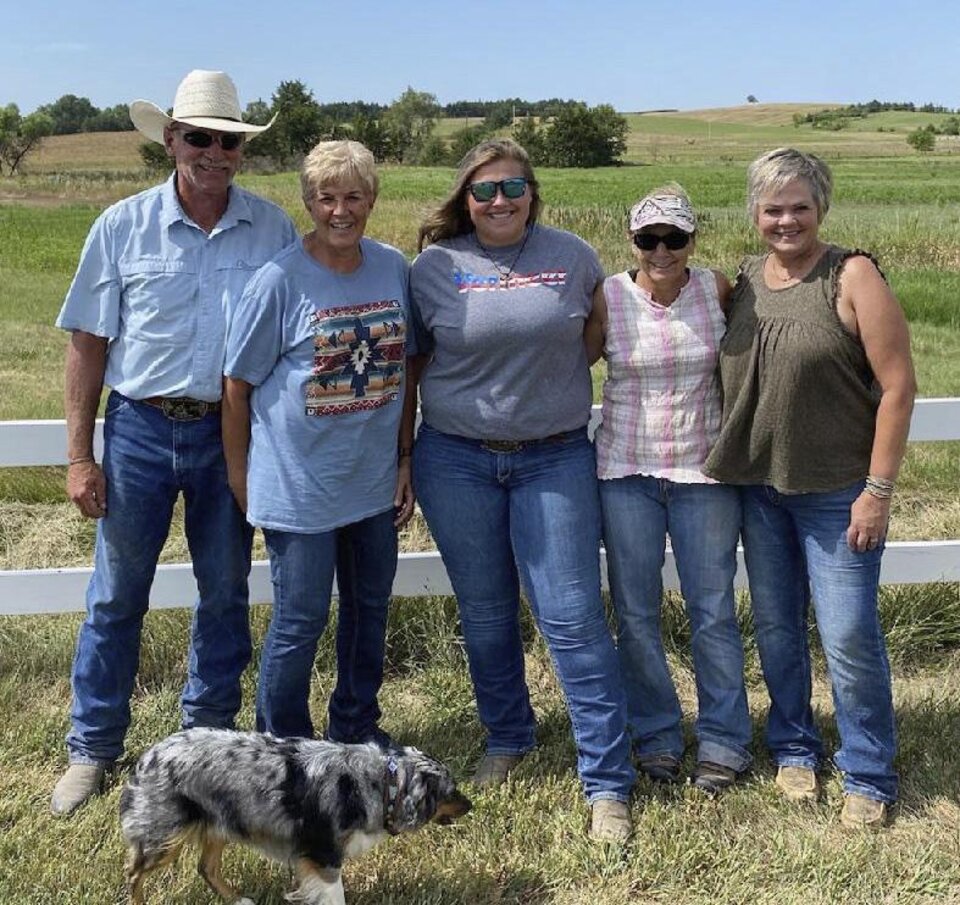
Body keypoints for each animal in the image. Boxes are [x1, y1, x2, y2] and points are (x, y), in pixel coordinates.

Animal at [118, 728, 470, 904]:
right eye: (451, 792)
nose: (471, 805)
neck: (382, 783)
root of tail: (149, 756)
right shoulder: (324, 855)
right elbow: (335, 895)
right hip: (164, 837)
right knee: (134, 875)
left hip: (221, 823)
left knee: (206, 868)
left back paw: (237, 900)